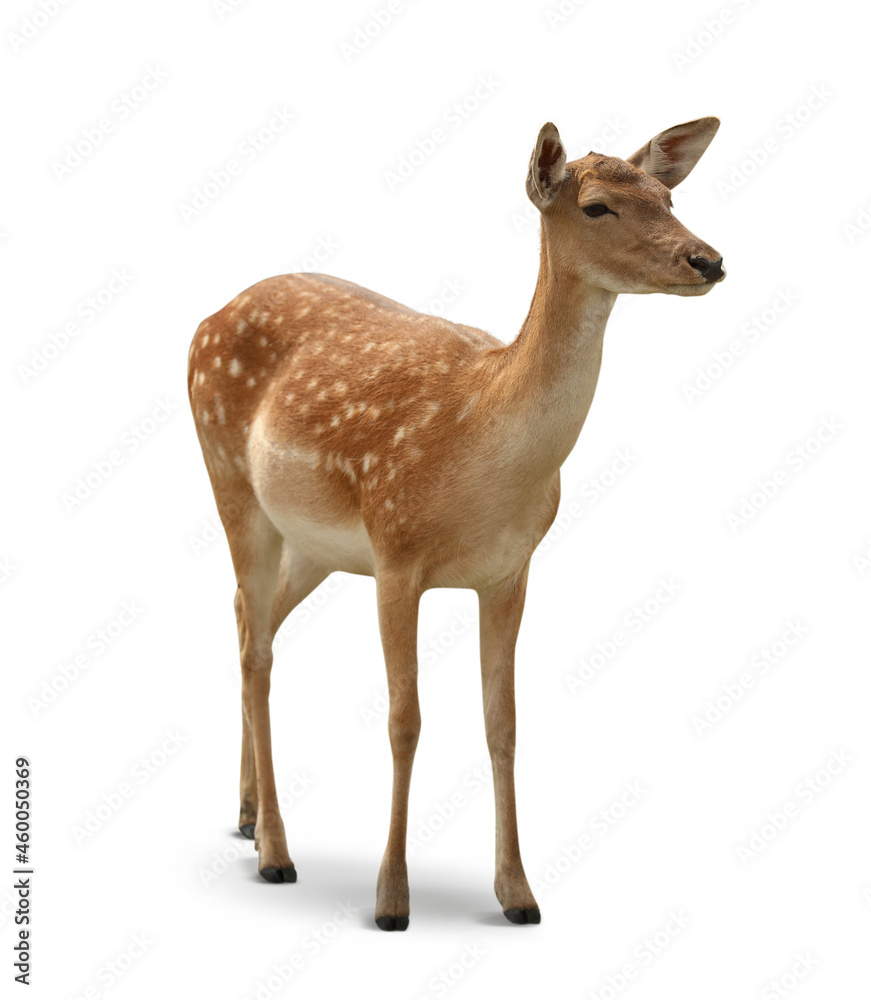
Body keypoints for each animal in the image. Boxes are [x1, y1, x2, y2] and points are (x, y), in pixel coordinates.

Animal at [187, 116, 725, 931]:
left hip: (314, 543)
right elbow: (404, 720)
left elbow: (503, 723)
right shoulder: (395, 550)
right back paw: (277, 852)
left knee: (253, 620)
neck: (482, 450)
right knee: (256, 647)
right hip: (230, 481)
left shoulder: (510, 571)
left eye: (668, 197)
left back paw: (248, 817)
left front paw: (518, 895)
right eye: (596, 206)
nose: (708, 259)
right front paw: (390, 901)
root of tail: (205, 320)